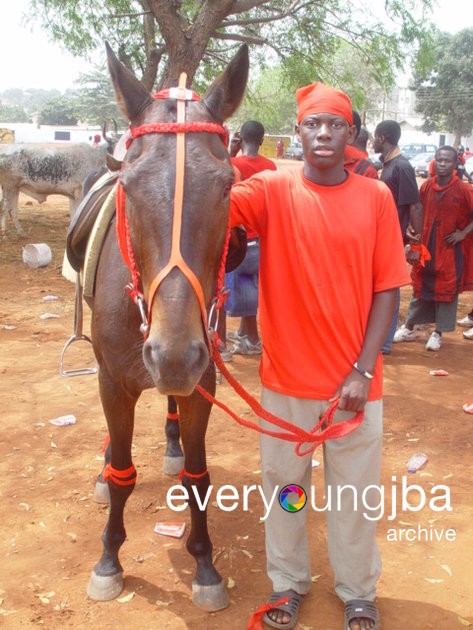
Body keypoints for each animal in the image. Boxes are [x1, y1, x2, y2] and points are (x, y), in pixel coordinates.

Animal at [84, 43, 247, 612]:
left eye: (227, 186)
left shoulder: (202, 378)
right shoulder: (114, 382)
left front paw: (206, 566)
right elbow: (122, 474)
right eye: (129, 187)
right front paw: (108, 559)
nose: (172, 355)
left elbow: (199, 478)